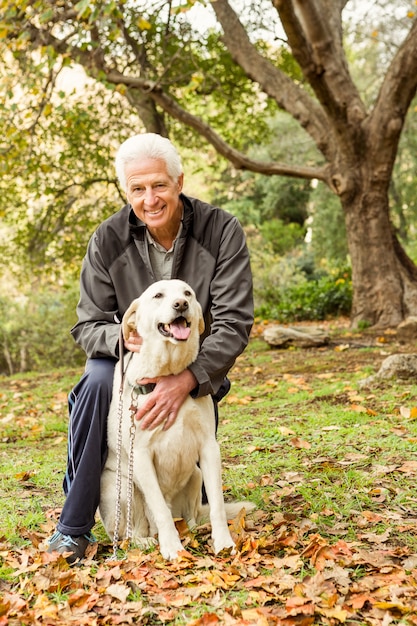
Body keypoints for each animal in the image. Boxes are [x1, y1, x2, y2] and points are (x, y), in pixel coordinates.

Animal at [99, 280, 247, 560]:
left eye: (187, 293)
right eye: (158, 295)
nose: (181, 305)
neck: (168, 373)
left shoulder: (208, 447)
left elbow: (217, 505)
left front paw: (223, 543)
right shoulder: (141, 455)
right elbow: (160, 508)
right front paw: (172, 548)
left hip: (196, 475)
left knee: (190, 517)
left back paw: (194, 529)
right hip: (121, 487)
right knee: (132, 532)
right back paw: (145, 541)